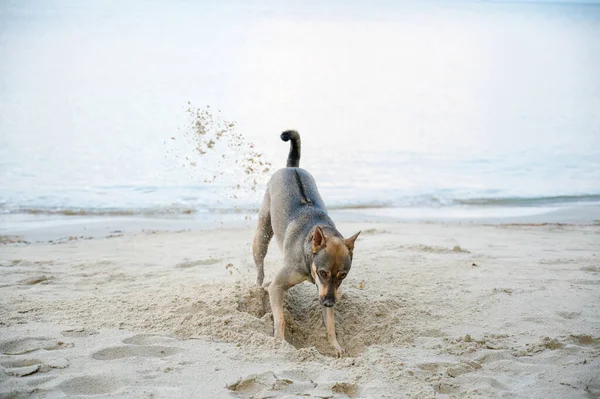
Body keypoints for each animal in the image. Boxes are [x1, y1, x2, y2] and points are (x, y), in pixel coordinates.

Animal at [251, 130, 358, 356]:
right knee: (260, 269)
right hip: (262, 235)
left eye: (343, 275)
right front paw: (280, 341)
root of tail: (292, 167)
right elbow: (281, 319)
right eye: (323, 272)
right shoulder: (277, 287)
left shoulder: (327, 291)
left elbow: (330, 324)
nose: (329, 302)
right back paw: (257, 289)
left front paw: (335, 346)